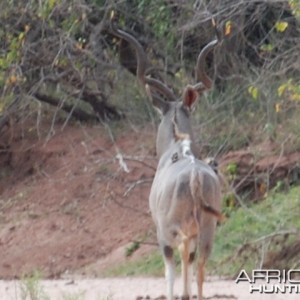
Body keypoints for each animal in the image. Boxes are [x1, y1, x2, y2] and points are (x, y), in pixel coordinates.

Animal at [110, 19, 223, 298]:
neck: (178, 149)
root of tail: (194, 176)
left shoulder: (162, 231)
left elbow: (169, 270)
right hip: (208, 228)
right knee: (199, 263)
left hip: (175, 229)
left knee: (181, 256)